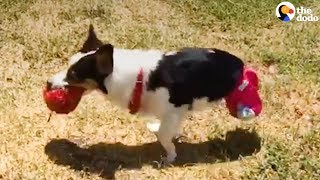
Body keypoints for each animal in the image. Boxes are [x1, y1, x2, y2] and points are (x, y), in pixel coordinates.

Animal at [48, 24, 262, 164]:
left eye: (73, 75)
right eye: (68, 66)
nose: (48, 82)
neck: (138, 79)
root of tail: (239, 65)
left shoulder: (174, 110)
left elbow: (164, 136)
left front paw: (170, 157)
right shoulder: (175, 114)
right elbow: (166, 130)